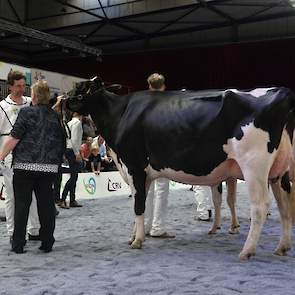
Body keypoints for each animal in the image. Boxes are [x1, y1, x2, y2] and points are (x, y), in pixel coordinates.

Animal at [66, 77, 295, 260]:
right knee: (284, 206)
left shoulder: (134, 166)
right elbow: (142, 204)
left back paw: (247, 251)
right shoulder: (142, 174)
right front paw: (135, 235)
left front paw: (137, 241)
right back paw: (282, 247)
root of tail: (282, 92)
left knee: (260, 207)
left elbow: (138, 206)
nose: (65, 99)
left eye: (81, 87)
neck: (120, 114)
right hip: (278, 172)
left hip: (254, 165)